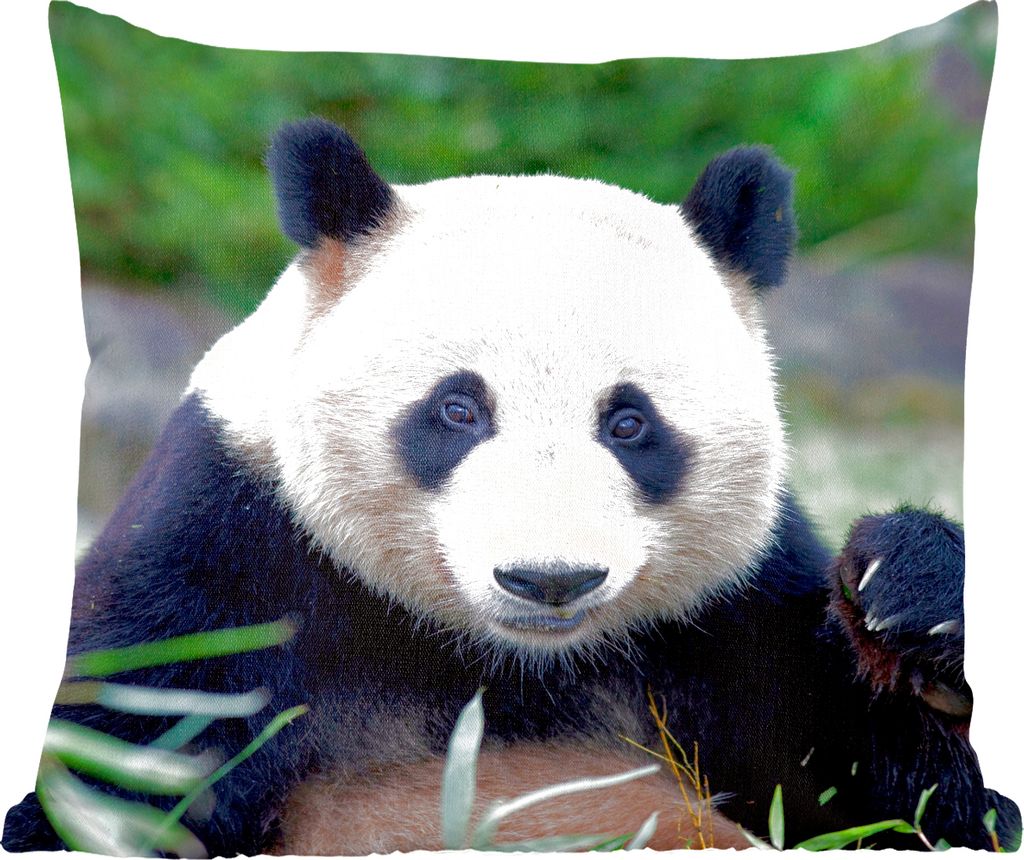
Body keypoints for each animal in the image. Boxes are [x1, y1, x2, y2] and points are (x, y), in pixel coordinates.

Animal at [3, 117, 1019, 854]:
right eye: (458, 410)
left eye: (629, 423)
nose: (549, 579)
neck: (504, 661)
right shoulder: (229, 556)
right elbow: (122, 754)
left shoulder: (727, 616)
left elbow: (885, 792)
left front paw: (911, 595)